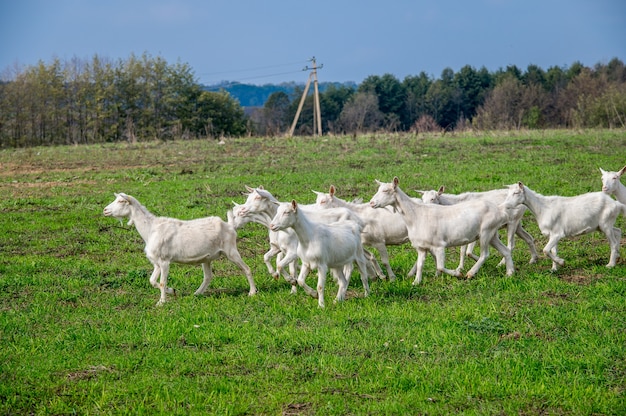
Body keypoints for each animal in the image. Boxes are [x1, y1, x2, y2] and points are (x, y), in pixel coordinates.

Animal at [103, 193, 255, 306]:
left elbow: (162, 282)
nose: (105, 210)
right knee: (208, 277)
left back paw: (252, 292)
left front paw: (161, 302)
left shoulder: (164, 261)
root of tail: (229, 225)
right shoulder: (156, 262)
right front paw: (172, 291)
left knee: (247, 269)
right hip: (207, 258)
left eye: (121, 201)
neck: (151, 229)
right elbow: (152, 281)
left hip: (231, 250)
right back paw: (196, 294)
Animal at [366, 177, 512, 284]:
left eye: (386, 190)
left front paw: (457, 273)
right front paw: (416, 282)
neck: (416, 215)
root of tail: (499, 210)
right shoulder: (421, 247)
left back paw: (470, 273)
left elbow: (440, 267)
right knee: (506, 250)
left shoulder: (439, 245)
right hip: (492, 234)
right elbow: (420, 265)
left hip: (486, 232)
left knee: (485, 254)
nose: (372, 203)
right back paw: (510, 273)